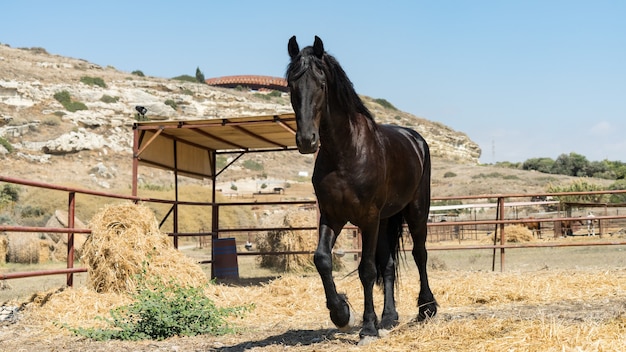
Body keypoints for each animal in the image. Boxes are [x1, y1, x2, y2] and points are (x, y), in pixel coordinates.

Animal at [286, 36, 436, 344]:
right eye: (291, 85)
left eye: (321, 84)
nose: (307, 140)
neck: (346, 152)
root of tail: (415, 138)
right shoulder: (332, 216)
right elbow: (322, 259)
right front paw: (342, 313)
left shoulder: (367, 218)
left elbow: (366, 270)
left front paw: (368, 327)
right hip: (386, 220)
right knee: (389, 265)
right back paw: (389, 317)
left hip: (416, 212)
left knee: (420, 254)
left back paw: (426, 308)